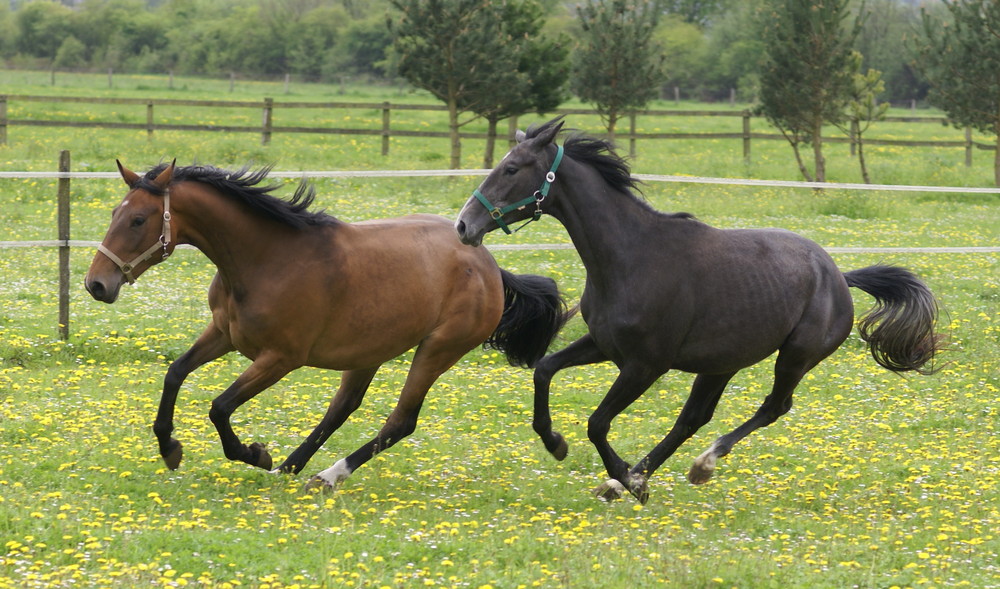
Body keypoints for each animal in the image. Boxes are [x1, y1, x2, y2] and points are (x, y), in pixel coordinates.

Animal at [84, 160, 572, 486]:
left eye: (138, 219)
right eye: (112, 214)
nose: (96, 284)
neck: (266, 258)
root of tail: (489, 265)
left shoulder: (280, 358)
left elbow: (219, 406)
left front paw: (254, 453)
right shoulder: (224, 334)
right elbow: (175, 373)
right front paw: (170, 448)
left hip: (438, 349)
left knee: (400, 421)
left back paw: (323, 475)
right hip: (370, 350)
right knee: (343, 408)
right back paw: (294, 467)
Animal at [458, 117, 940, 504]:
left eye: (512, 168)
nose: (464, 226)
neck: (631, 256)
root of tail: (839, 274)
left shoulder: (645, 365)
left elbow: (597, 422)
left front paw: (626, 480)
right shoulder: (603, 345)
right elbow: (544, 370)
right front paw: (558, 443)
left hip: (795, 357)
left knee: (773, 407)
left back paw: (698, 465)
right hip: (720, 364)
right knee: (693, 418)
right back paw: (643, 475)